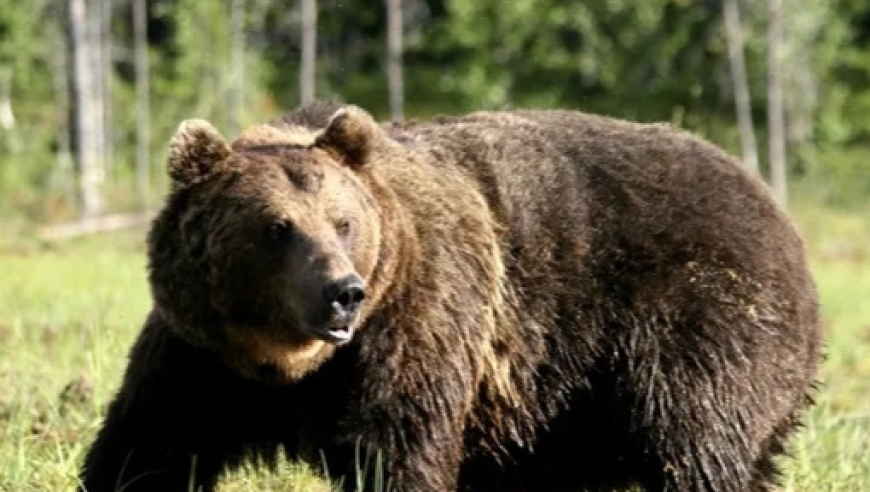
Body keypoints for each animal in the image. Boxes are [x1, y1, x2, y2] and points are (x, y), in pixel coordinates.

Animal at [75, 100, 824, 492]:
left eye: (343, 221)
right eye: (276, 227)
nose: (342, 294)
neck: (285, 364)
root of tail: (777, 210)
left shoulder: (414, 320)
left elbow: (401, 445)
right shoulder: (201, 354)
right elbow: (149, 443)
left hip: (692, 319)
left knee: (696, 438)